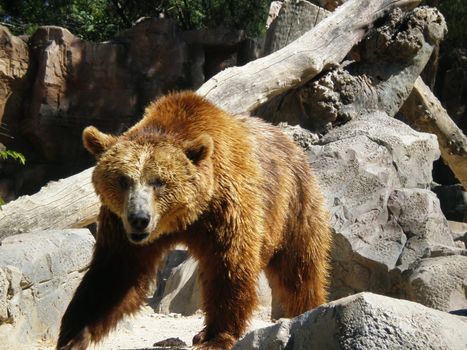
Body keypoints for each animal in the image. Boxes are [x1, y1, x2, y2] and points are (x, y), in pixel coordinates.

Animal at [57, 91, 332, 350]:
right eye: (123, 180)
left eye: (159, 181)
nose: (139, 219)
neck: (184, 218)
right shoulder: (119, 226)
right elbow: (113, 274)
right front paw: (73, 336)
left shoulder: (227, 206)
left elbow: (229, 264)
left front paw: (217, 336)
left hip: (293, 202)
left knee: (299, 267)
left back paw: (306, 309)